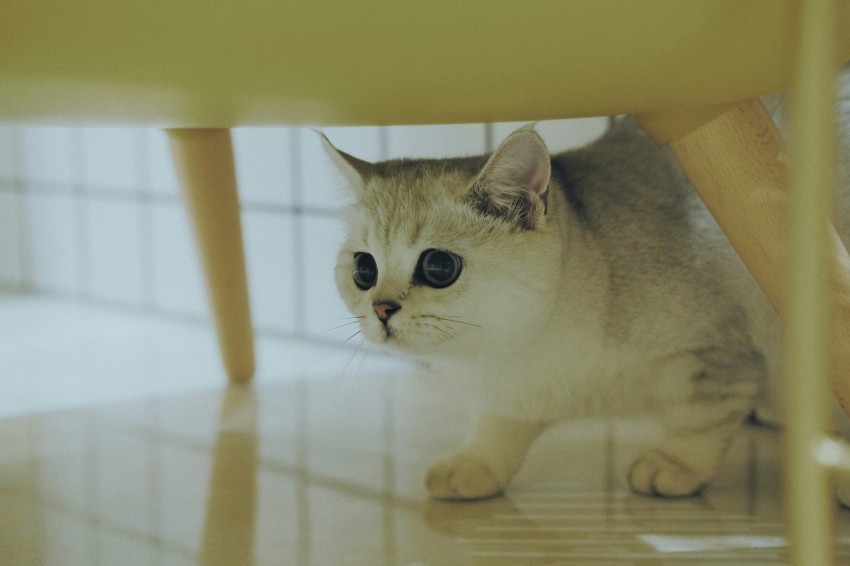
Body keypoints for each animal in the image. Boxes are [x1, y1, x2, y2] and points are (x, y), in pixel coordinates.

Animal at [322, 94, 844, 506]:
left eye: (438, 267)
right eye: (364, 270)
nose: (381, 309)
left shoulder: (719, 354)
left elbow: (700, 420)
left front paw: (676, 466)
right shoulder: (515, 393)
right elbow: (499, 427)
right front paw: (476, 465)